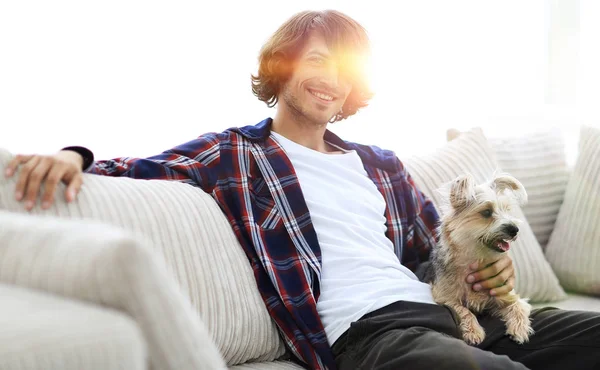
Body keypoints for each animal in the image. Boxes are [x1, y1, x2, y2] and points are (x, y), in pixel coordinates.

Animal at [424, 172, 532, 346]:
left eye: (507, 210)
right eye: (486, 212)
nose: (514, 229)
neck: (477, 259)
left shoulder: (505, 292)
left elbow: (517, 305)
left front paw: (520, 328)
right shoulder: (443, 297)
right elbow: (463, 310)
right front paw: (474, 331)